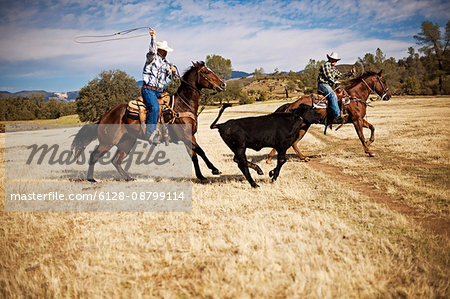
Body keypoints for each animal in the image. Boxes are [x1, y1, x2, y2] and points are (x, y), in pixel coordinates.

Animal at [72, 62, 227, 182]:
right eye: (206, 71)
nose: (223, 84)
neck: (182, 105)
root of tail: (104, 117)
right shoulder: (185, 136)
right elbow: (200, 151)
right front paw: (215, 170)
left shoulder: (190, 137)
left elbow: (194, 156)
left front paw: (201, 176)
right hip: (107, 142)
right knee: (94, 156)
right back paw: (91, 179)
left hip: (127, 141)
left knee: (116, 160)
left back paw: (128, 177)